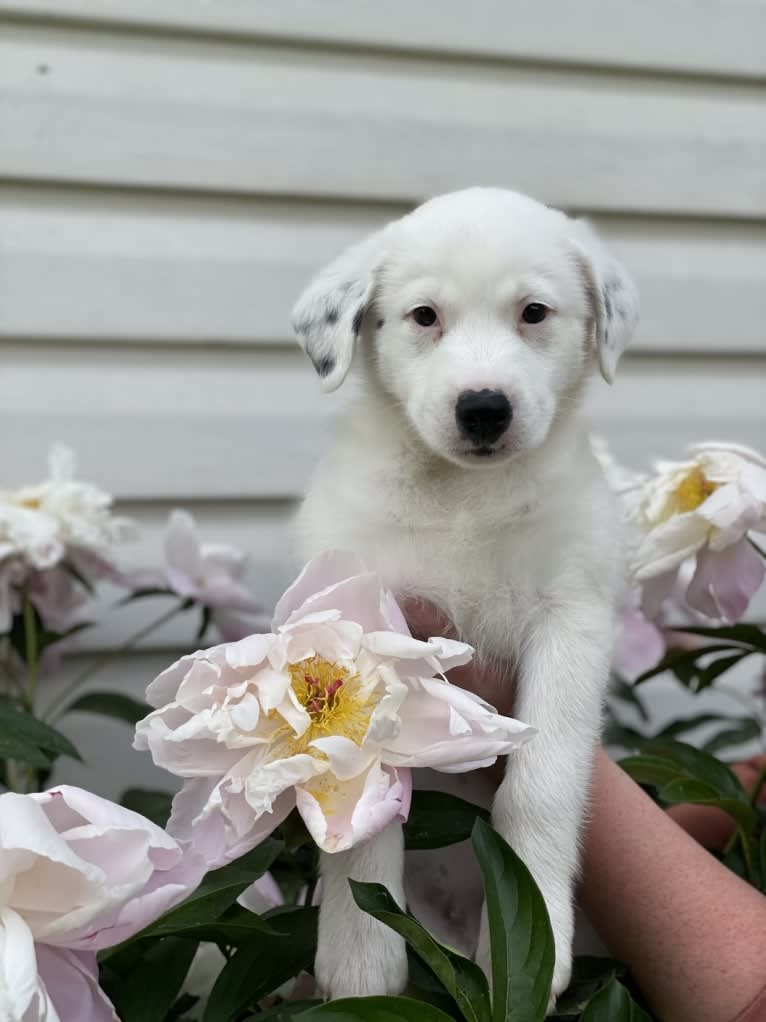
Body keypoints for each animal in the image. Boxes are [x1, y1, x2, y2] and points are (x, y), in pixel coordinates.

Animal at [290, 188, 637, 1009]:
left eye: (534, 312)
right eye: (424, 316)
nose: (484, 408)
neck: (465, 497)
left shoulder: (572, 618)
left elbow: (540, 783)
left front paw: (540, 920)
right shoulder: (356, 617)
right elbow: (360, 789)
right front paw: (361, 955)